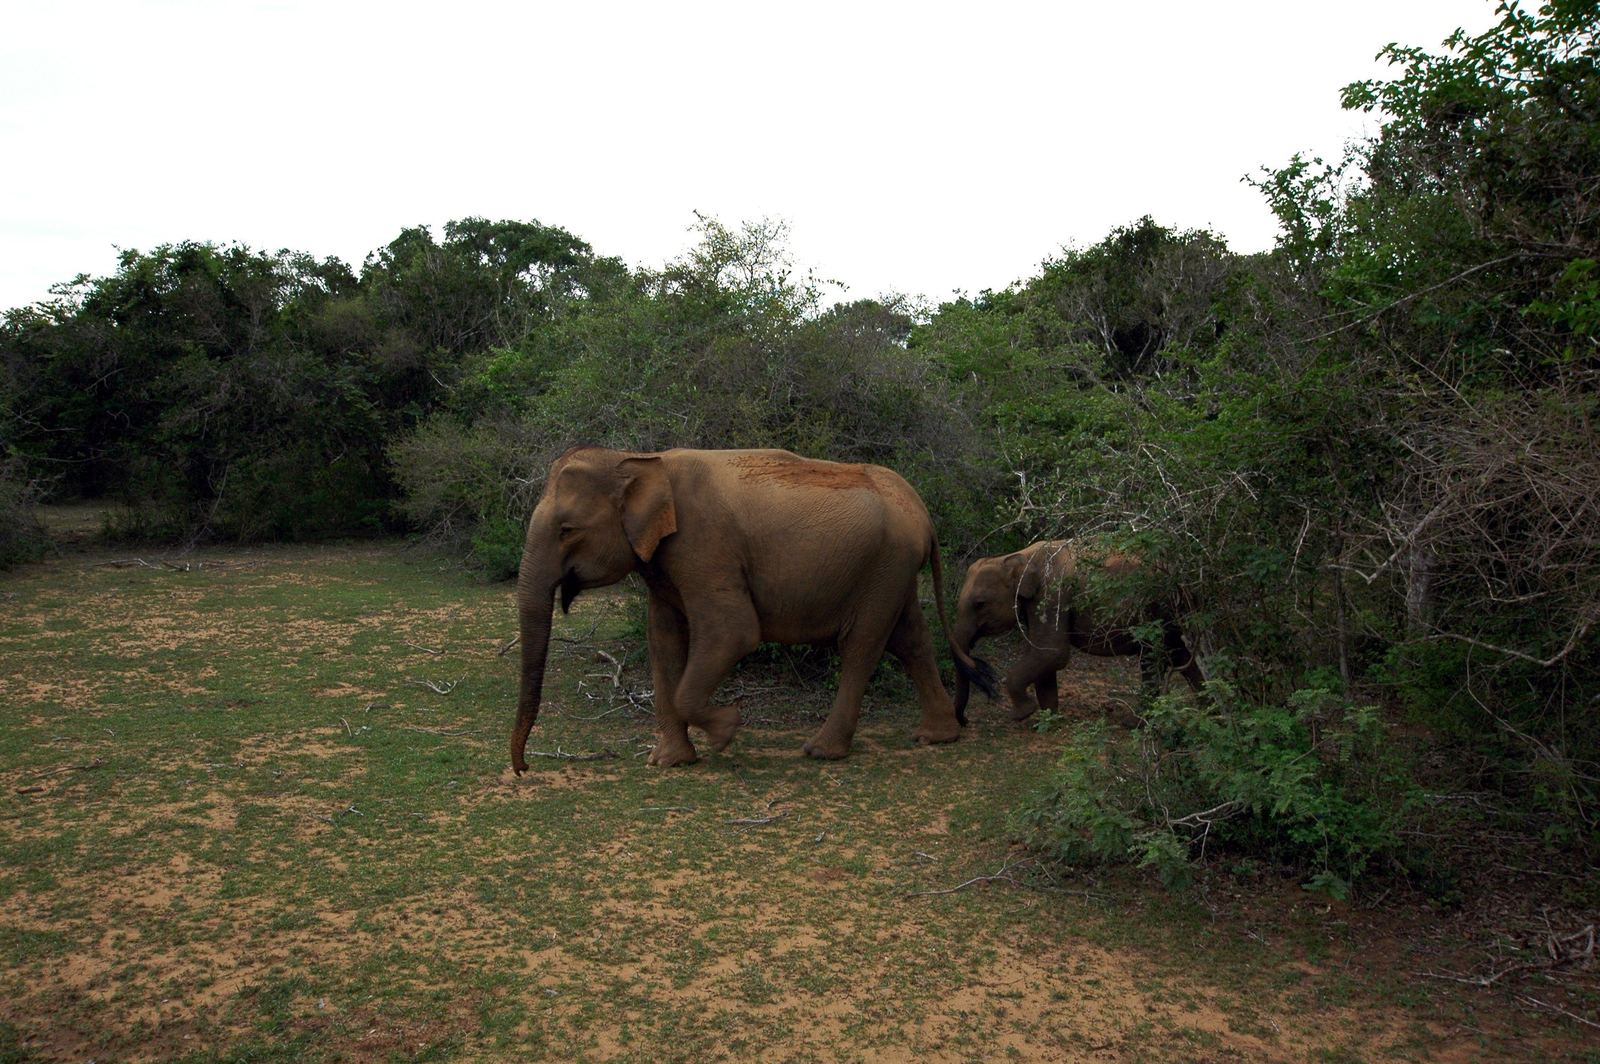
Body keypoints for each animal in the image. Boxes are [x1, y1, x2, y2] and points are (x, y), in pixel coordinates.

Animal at [509, 446, 996, 774]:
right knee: (910, 639)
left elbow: (734, 632)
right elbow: (663, 641)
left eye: (567, 530)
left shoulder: (703, 545)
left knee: (862, 646)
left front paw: (727, 729)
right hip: (893, 570)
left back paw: (820, 750)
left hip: (884, 566)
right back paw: (937, 737)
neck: (639, 460)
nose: (524, 769)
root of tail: (922, 509)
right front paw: (669, 762)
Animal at [950, 540, 1203, 723]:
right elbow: (1044, 656)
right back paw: (1207, 707)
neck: (1018, 556)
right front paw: (1048, 719)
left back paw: (1133, 723)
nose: (965, 721)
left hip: (1156, 607)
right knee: (1181, 654)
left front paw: (1022, 714)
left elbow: (1052, 653)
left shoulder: (1052, 594)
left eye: (979, 604)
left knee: (1153, 656)